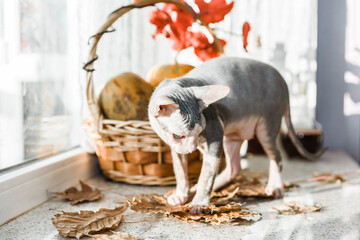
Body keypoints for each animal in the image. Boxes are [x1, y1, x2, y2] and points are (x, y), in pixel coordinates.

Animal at [148, 56, 324, 214]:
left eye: (199, 132)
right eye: (178, 136)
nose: (192, 149)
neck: (178, 84)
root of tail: (282, 79)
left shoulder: (215, 133)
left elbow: (207, 174)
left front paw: (199, 203)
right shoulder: (176, 147)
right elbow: (180, 171)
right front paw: (180, 195)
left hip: (266, 125)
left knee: (276, 157)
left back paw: (275, 187)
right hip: (232, 136)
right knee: (234, 167)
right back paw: (200, 187)